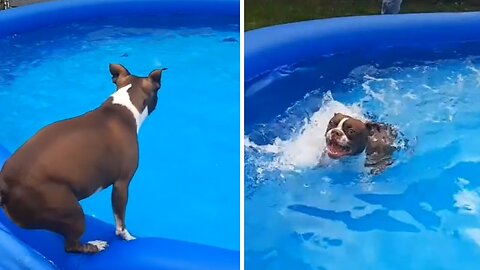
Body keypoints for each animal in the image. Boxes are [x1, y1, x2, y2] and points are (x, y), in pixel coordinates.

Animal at [0, 63, 167, 253]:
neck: (122, 107)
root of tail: (6, 186)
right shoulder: (121, 184)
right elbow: (120, 220)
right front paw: (127, 237)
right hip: (70, 211)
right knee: (71, 246)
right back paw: (95, 246)